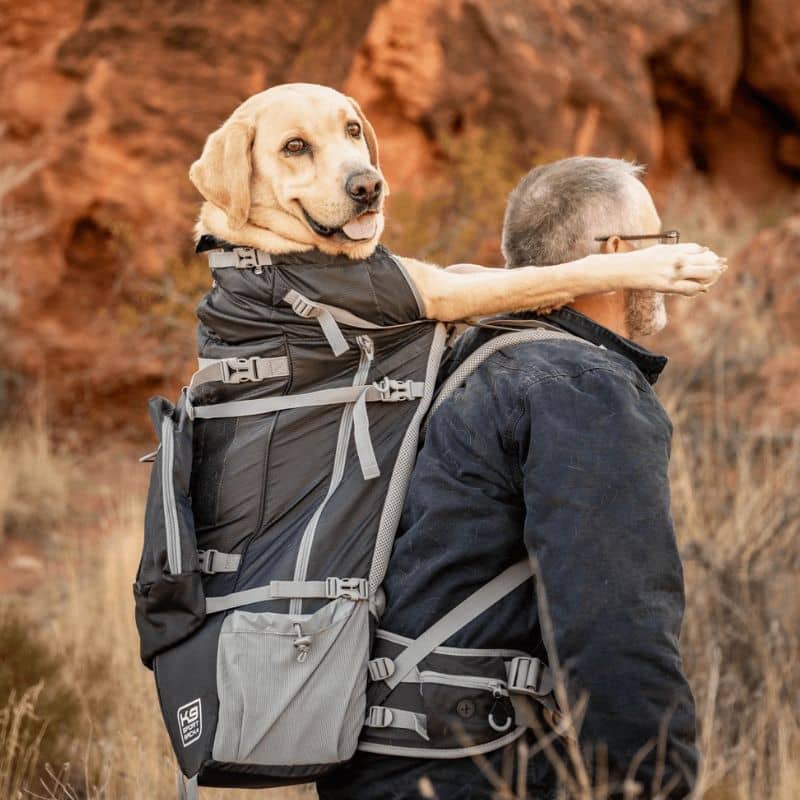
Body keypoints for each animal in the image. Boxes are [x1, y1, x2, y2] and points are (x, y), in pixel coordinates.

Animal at [189, 81, 724, 318]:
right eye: (294, 146)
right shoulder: (437, 295)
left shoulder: (433, 276)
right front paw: (671, 264)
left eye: (354, 129)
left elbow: (501, 270)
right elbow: (560, 271)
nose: (369, 186)